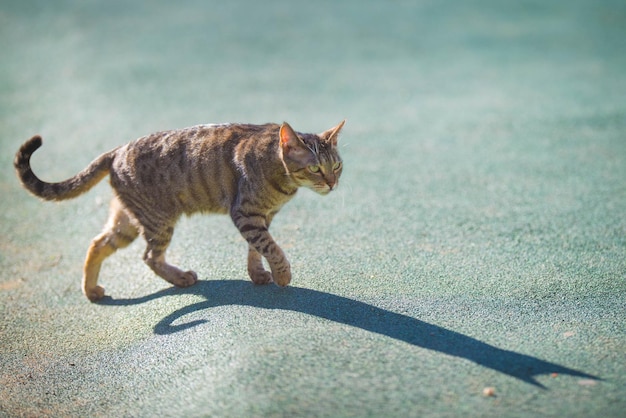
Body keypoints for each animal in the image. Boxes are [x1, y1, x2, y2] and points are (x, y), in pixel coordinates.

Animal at [14, 120, 344, 300]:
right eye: (315, 168)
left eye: (337, 166)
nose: (332, 184)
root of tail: (117, 150)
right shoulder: (246, 214)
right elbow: (271, 247)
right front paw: (282, 275)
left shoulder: (262, 217)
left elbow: (257, 249)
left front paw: (259, 273)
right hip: (158, 220)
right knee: (149, 256)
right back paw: (180, 277)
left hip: (128, 221)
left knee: (97, 243)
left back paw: (91, 290)